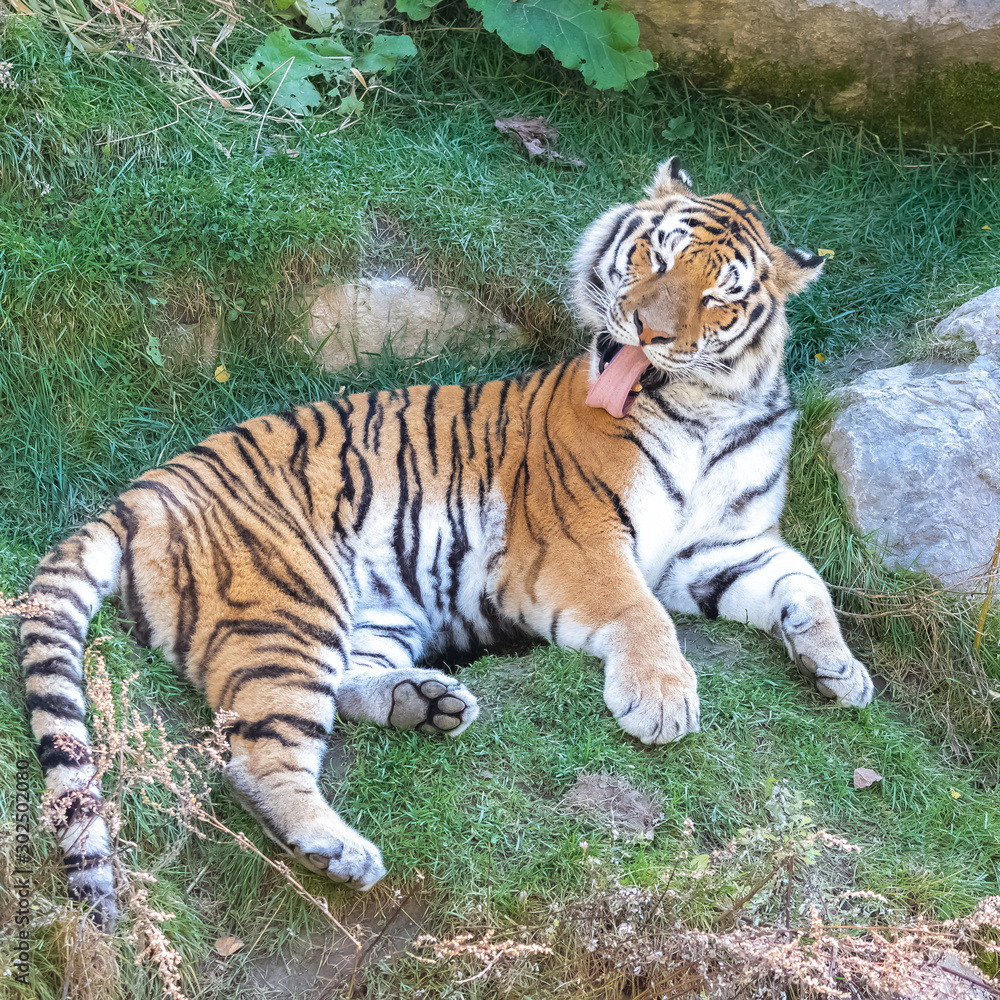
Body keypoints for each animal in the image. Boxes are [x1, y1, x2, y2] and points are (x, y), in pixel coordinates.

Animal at [19, 158, 872, 928]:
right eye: (654, 259)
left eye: (718, 297)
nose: (648, 329)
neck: (706, 412)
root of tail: (142, 491)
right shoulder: (579, 543)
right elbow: (642, 616)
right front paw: (662, 701)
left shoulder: (720, 549)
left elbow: (806, 584)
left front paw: (842, 671)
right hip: (287, 605)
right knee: (254, 759)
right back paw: (338, 848)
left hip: (375, 608)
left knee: (339, 687)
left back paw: (424, 702)